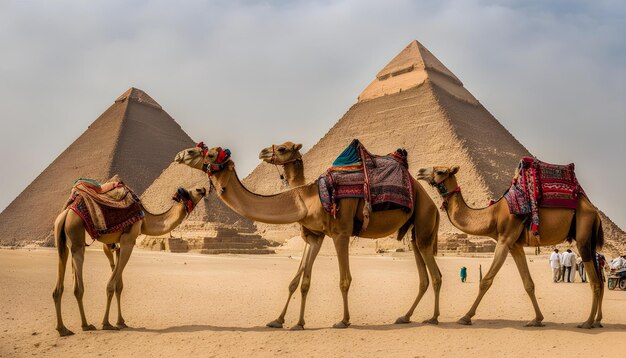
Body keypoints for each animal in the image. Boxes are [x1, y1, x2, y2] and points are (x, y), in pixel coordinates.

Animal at [52, 187, 205, 336]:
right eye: (192, 191)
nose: (203, 189)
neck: (145, 219)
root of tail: (66, 214)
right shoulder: (128, 241)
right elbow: (111, 285)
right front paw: (107, 323)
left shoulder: (119, 245)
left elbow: (119, 286)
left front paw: (121, 322)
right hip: (76, 234)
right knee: (78, 286)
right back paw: (85, 325)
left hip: (62, 241)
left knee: (58, 284)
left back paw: (63, 329)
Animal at [174, 144, 438, 328]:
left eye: (210, 154)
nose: (181, 155)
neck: (308, 197)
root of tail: (432, 202)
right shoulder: (315, 236)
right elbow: (300, 282)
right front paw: (285, 321)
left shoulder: (340, 233)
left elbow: (344, 280)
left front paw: (343, 320)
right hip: (415, 232)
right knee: (423, 277)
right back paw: (405, 316)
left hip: (424, 222)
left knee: (435, 275)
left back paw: (434, 318)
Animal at [416, 166, 604, 328]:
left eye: (440, 171)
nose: (419, 172)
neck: (492, 215)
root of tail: (594, 212)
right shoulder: (515, 246)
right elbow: (528, 284)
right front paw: (537, 319)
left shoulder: (505, 240)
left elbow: (485, 281)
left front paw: (466, 317)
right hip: (590, 240)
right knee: (600, 281)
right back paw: (597, 320)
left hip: (583, 235)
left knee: (595, 282)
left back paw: (587, 322)